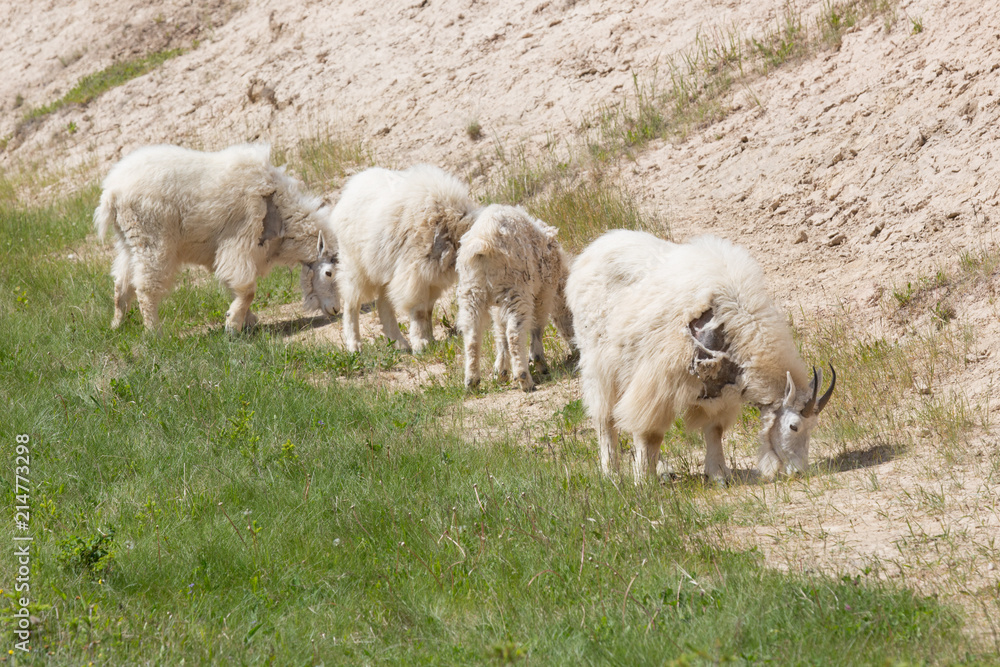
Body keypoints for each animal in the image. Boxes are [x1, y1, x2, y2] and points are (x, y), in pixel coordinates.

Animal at [95, 146, 342, 334]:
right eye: (329, 273)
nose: (336, 310)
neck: (279, 210)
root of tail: (111, 193)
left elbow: (234, 286)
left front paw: (246, 320)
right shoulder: (239, 241)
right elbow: (247, 288)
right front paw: (233, 325)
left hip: (128, 241)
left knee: (121, 283)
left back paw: (116, 326)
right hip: (152, 239)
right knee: (146, 288)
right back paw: (154, 332)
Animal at [328, 166, 476, 354]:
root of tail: (347, 192)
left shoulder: (431, 279)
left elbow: (428, 309)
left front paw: (430, 340)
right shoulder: (415, 275)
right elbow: (419, 311)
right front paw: (421, 343)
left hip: (384, 268)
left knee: (383, 304)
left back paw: (398, 343)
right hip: (355, 265)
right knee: (351, 302)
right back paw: (354, 344)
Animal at [458, 204, 576, 392]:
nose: (576, 350)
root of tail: (483, 241)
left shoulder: (498, 306)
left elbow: (500, 332)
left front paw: (501, 371)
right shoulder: (543, 293)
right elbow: (537, 325)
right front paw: (539, 362)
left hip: (471, 292)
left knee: (472, 335)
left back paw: (472, 381)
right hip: (516, 290)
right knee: (514, 333)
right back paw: (524, 378)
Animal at [564, 232, 836, 482]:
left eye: (813, 426)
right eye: (794, 426)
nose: (799, 471)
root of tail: (590, 253)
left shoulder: (717, 390)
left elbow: (714, 430)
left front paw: (718, 475)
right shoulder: (660, 384)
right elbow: (651, 433)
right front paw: (643, 480)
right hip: (597, 363)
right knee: (604, 417)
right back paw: (611, 472)